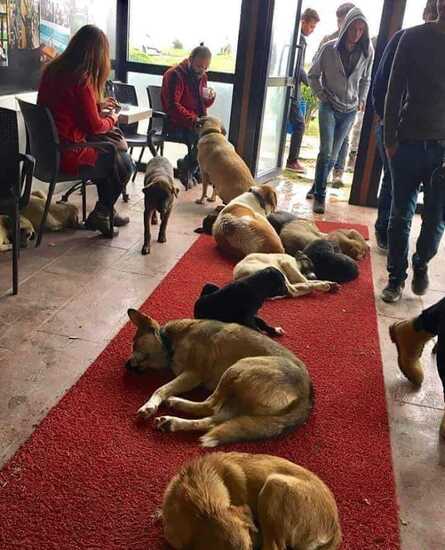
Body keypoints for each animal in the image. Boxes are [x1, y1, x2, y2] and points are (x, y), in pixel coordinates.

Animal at [126, 309, 313, 447]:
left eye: (134, 344)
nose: (127, 365)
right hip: (236, 394)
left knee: (210, 406)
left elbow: (160, 389)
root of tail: (306, 397)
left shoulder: (193, 374)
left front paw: (149, 406)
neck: (170, 341)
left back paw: (176, 407)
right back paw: (172, 420)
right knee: (213, 419)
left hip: (238, 368)